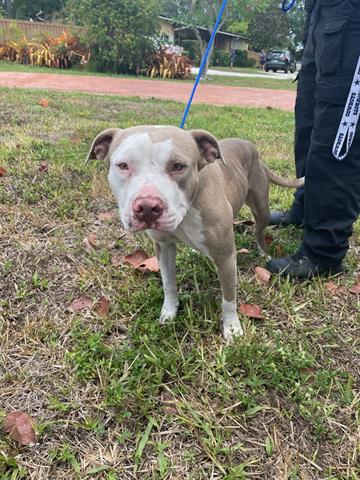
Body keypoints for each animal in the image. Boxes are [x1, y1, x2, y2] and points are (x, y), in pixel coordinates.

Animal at [87, 125, 304, 340]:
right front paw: (169, 311)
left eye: (178, 166)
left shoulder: (225, 256)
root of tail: (252, 149)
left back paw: (264, 252)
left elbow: (228, 298)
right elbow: (168, 283)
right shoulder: (163, 247)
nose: (148, 207)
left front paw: (232, 328)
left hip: (261, 208)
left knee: (259, 231)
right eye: (123, 165)